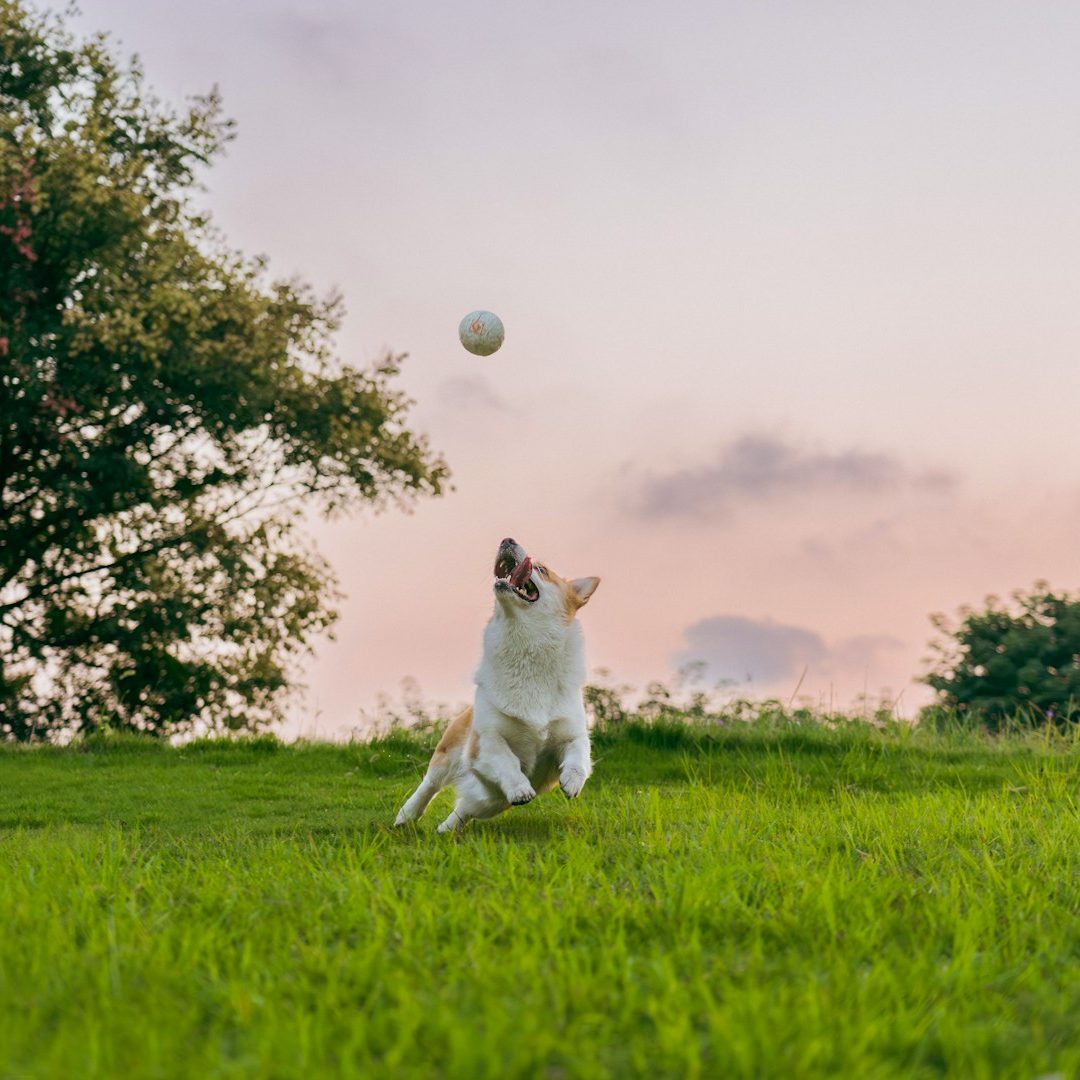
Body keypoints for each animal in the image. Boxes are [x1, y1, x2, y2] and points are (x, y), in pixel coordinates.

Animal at [395, 537, 600, 833]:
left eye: (542, 569)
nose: (507, 539)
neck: (527, 645)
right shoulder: (486, 741)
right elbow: (507, 762)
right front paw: (520, 788)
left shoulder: (572, 733)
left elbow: (579, 756)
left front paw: (572, 781)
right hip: (450, 754)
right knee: (429, 785)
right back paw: (407, 815)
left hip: (492, 803)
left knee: (465, 809)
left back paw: (446, 830)